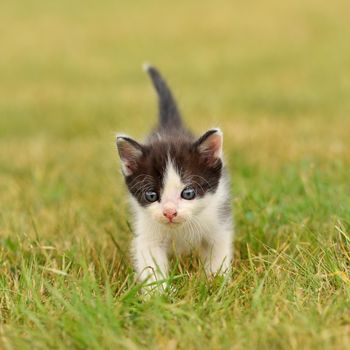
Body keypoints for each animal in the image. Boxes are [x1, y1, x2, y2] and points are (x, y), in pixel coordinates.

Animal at [116, 65, 234, 288]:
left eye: (188, 193)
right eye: (151, 196)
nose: (169, 212)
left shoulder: (218, 221)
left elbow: (218, 252)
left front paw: (216, 282)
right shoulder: (148, 233)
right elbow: (151, 262)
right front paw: (159, 293)